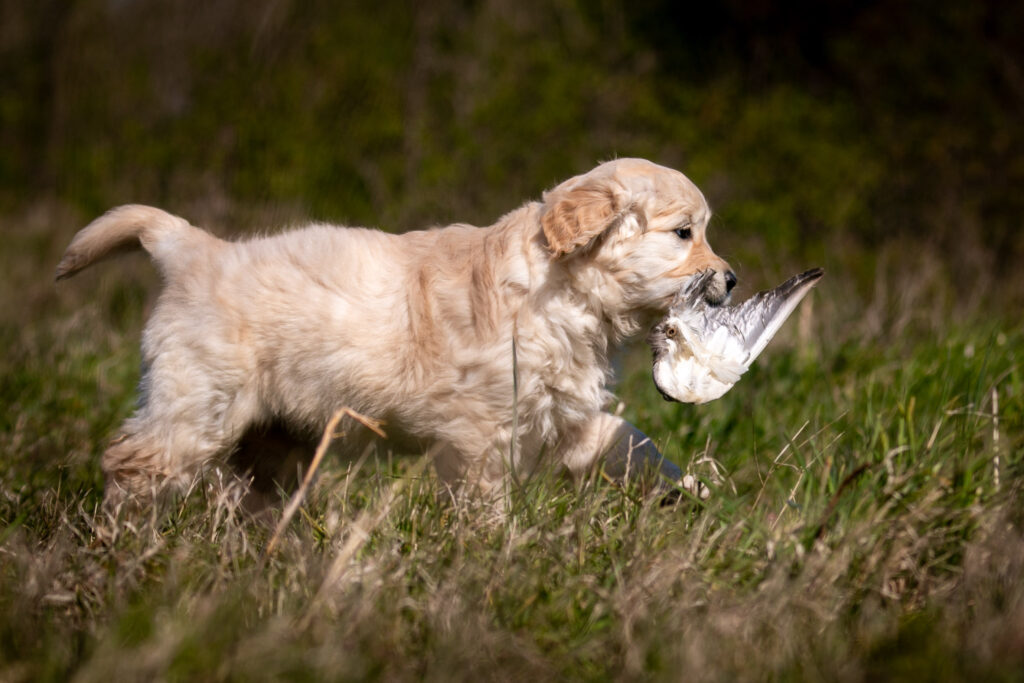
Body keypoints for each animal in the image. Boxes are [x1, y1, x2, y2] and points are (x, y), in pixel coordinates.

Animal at [56, 158, 733, 501]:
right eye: (683, 233)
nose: (731, 279)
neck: (561, 288)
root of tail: (193, 247)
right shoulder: (485, 431)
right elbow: (487, 496)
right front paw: (488, 547)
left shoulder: (560, 410)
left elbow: (630, 440)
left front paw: (693, 487)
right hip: (198, 402)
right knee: (133, 462)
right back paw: (123, 538)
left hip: (274, 436)